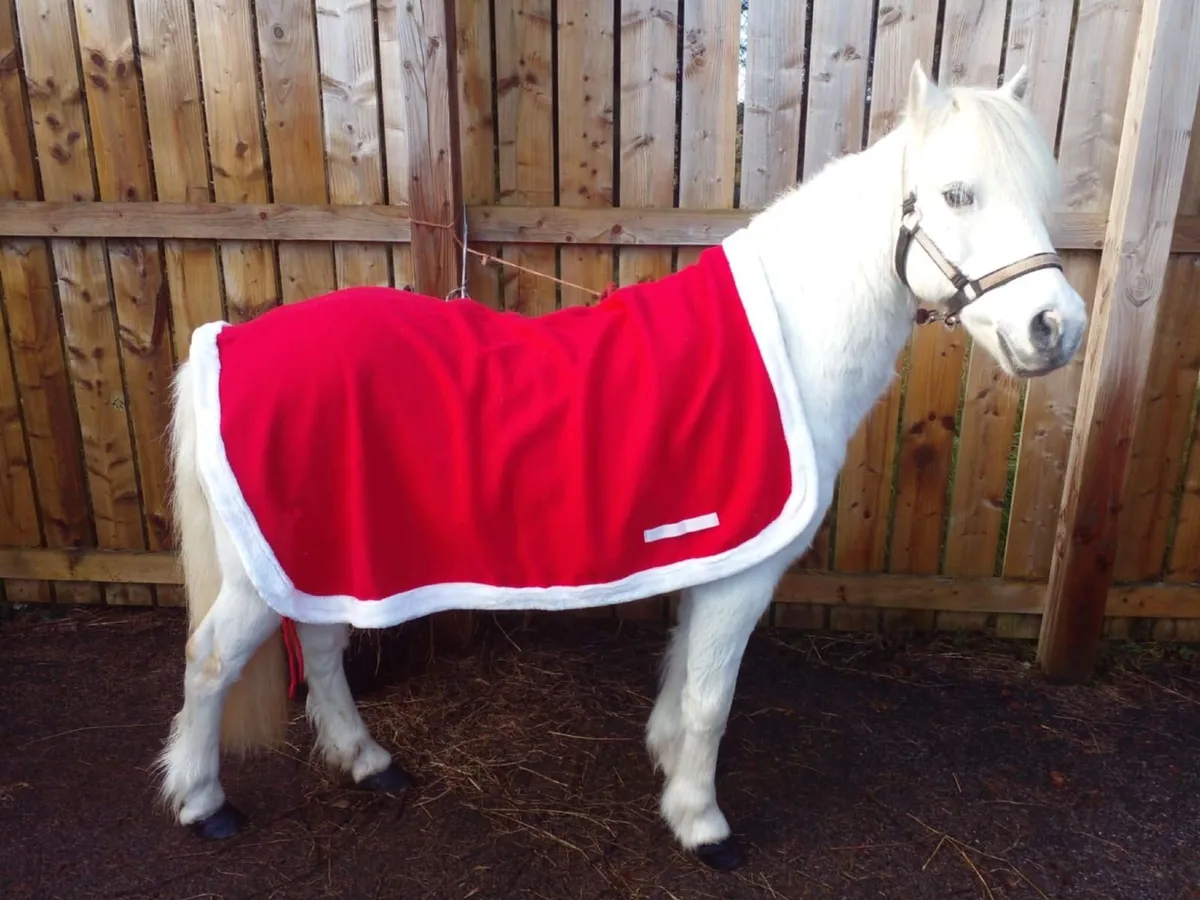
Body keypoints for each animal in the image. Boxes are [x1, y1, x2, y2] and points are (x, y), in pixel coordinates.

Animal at [155, 61, 1087, 871]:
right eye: (958, 194)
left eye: (1043, 197)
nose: (1057, 328)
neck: (787, 341)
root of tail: (228, 340)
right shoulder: (742, 570)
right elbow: (713, 698)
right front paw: (703, 824)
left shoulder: (714, 553)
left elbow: (684, 675)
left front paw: (667, 762)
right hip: (269, 572)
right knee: (210, 662)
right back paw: (203, 804)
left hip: (329, 553)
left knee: (318, 640)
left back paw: (366, 760)